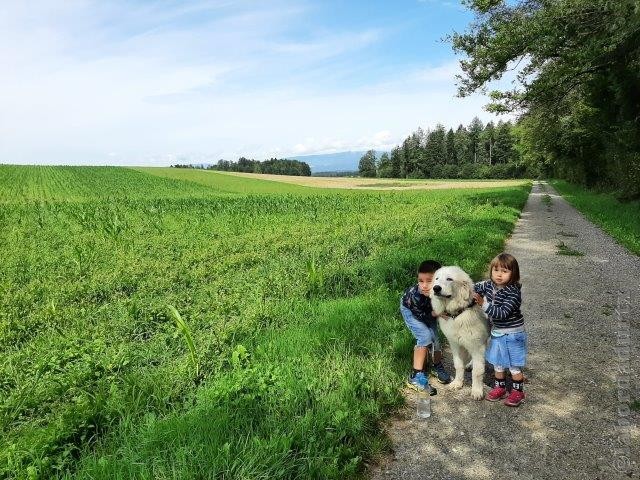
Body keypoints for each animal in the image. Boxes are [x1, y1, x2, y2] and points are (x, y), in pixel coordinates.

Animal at [430, 264, 490, 400]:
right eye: (437, 279)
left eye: (449, 279)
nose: (436, 288)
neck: (459, 312)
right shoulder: (455, 344)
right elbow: (458, 365)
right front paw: (457, 383)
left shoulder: (477, 346)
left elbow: (477, 372)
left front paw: (477, 391)